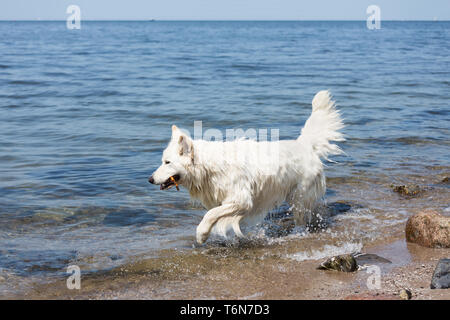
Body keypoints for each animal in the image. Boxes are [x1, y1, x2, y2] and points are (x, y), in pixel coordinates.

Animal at [149, 90, 342, 242]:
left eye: (167, 162)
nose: (150, 179)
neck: (209, 166)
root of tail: (303, 143)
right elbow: (215, 213)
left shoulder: (241, 199)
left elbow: (210, 214)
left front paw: (202, 234)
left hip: (299, 196)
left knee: (303, 217)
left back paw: (297, 233)